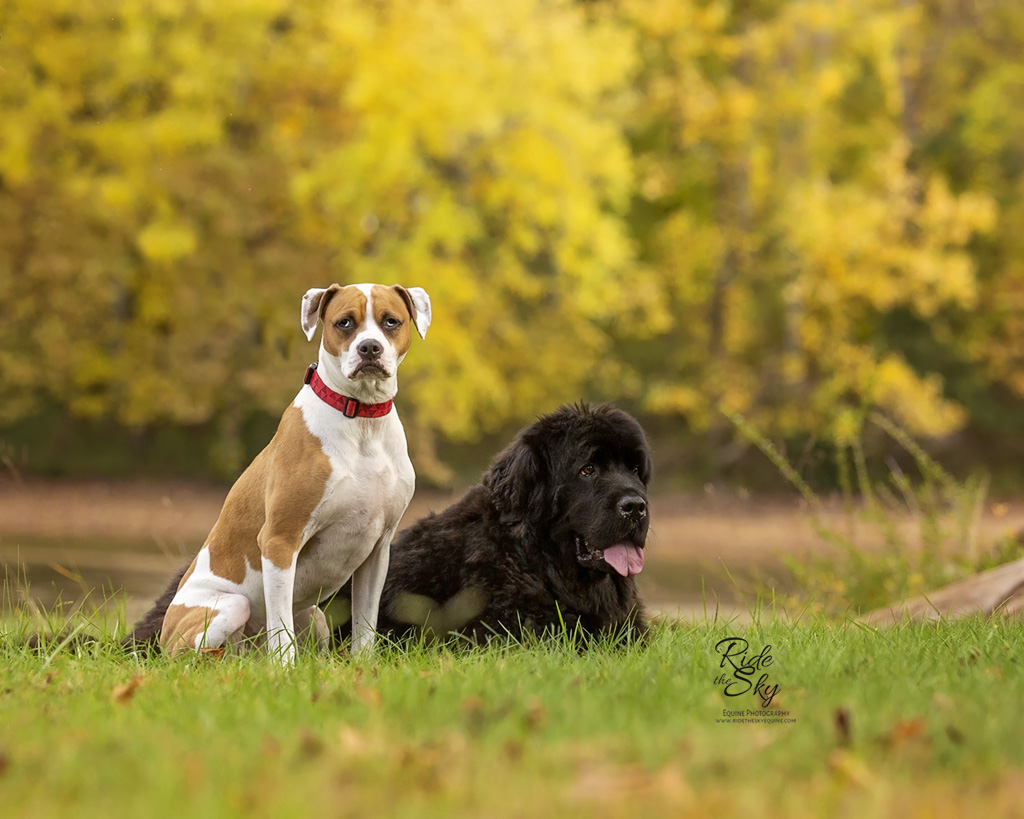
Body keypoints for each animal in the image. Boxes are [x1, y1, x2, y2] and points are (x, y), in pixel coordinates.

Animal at [158, 284, 428, 663]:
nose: (369, 348)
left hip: (315, 618)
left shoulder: (378, 549)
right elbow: (281, 628)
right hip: (229, 607)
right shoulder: (280, 540)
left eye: (391, 321)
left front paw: (363, 665)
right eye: (345, 322)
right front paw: (284, 669)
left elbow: (365, 625)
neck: (361, 419)